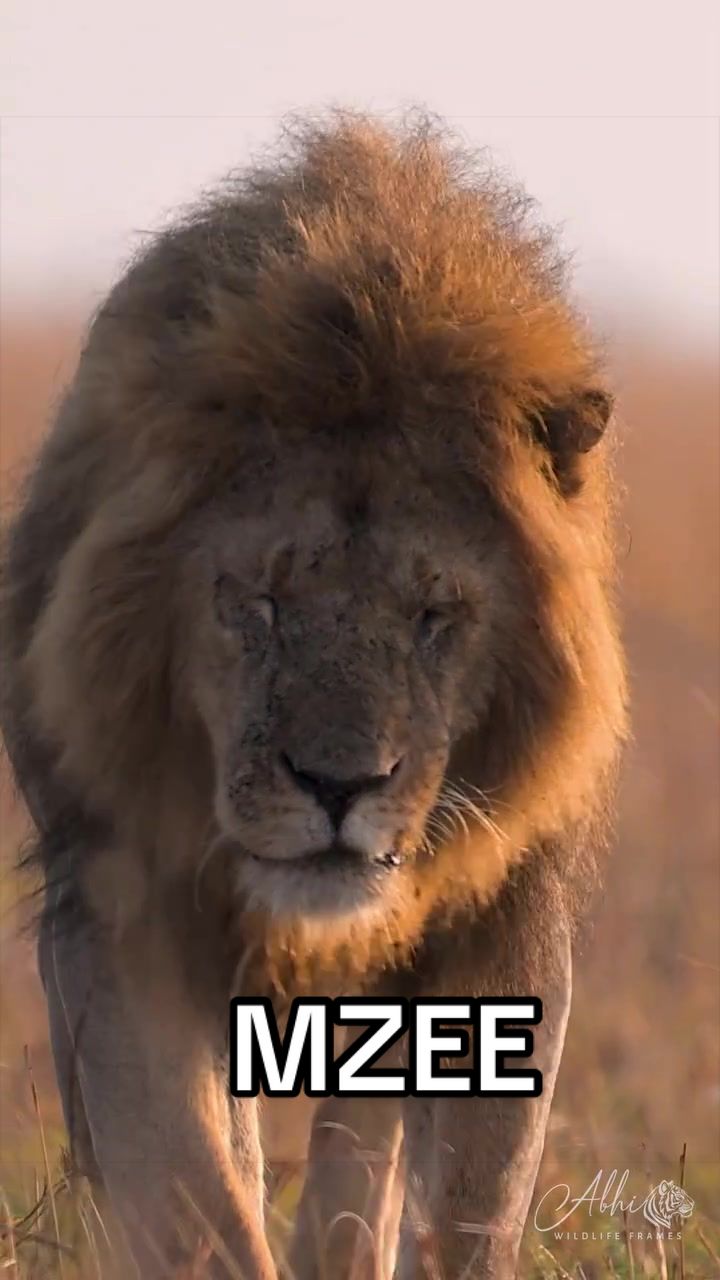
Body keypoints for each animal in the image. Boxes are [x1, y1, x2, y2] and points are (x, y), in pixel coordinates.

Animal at [1, 112, 627, 1279]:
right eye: (259, 602)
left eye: (434, 615)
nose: (340, 786)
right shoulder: (123, 902)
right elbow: (197, 1198)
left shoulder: (506, 915)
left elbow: (465, 1203)